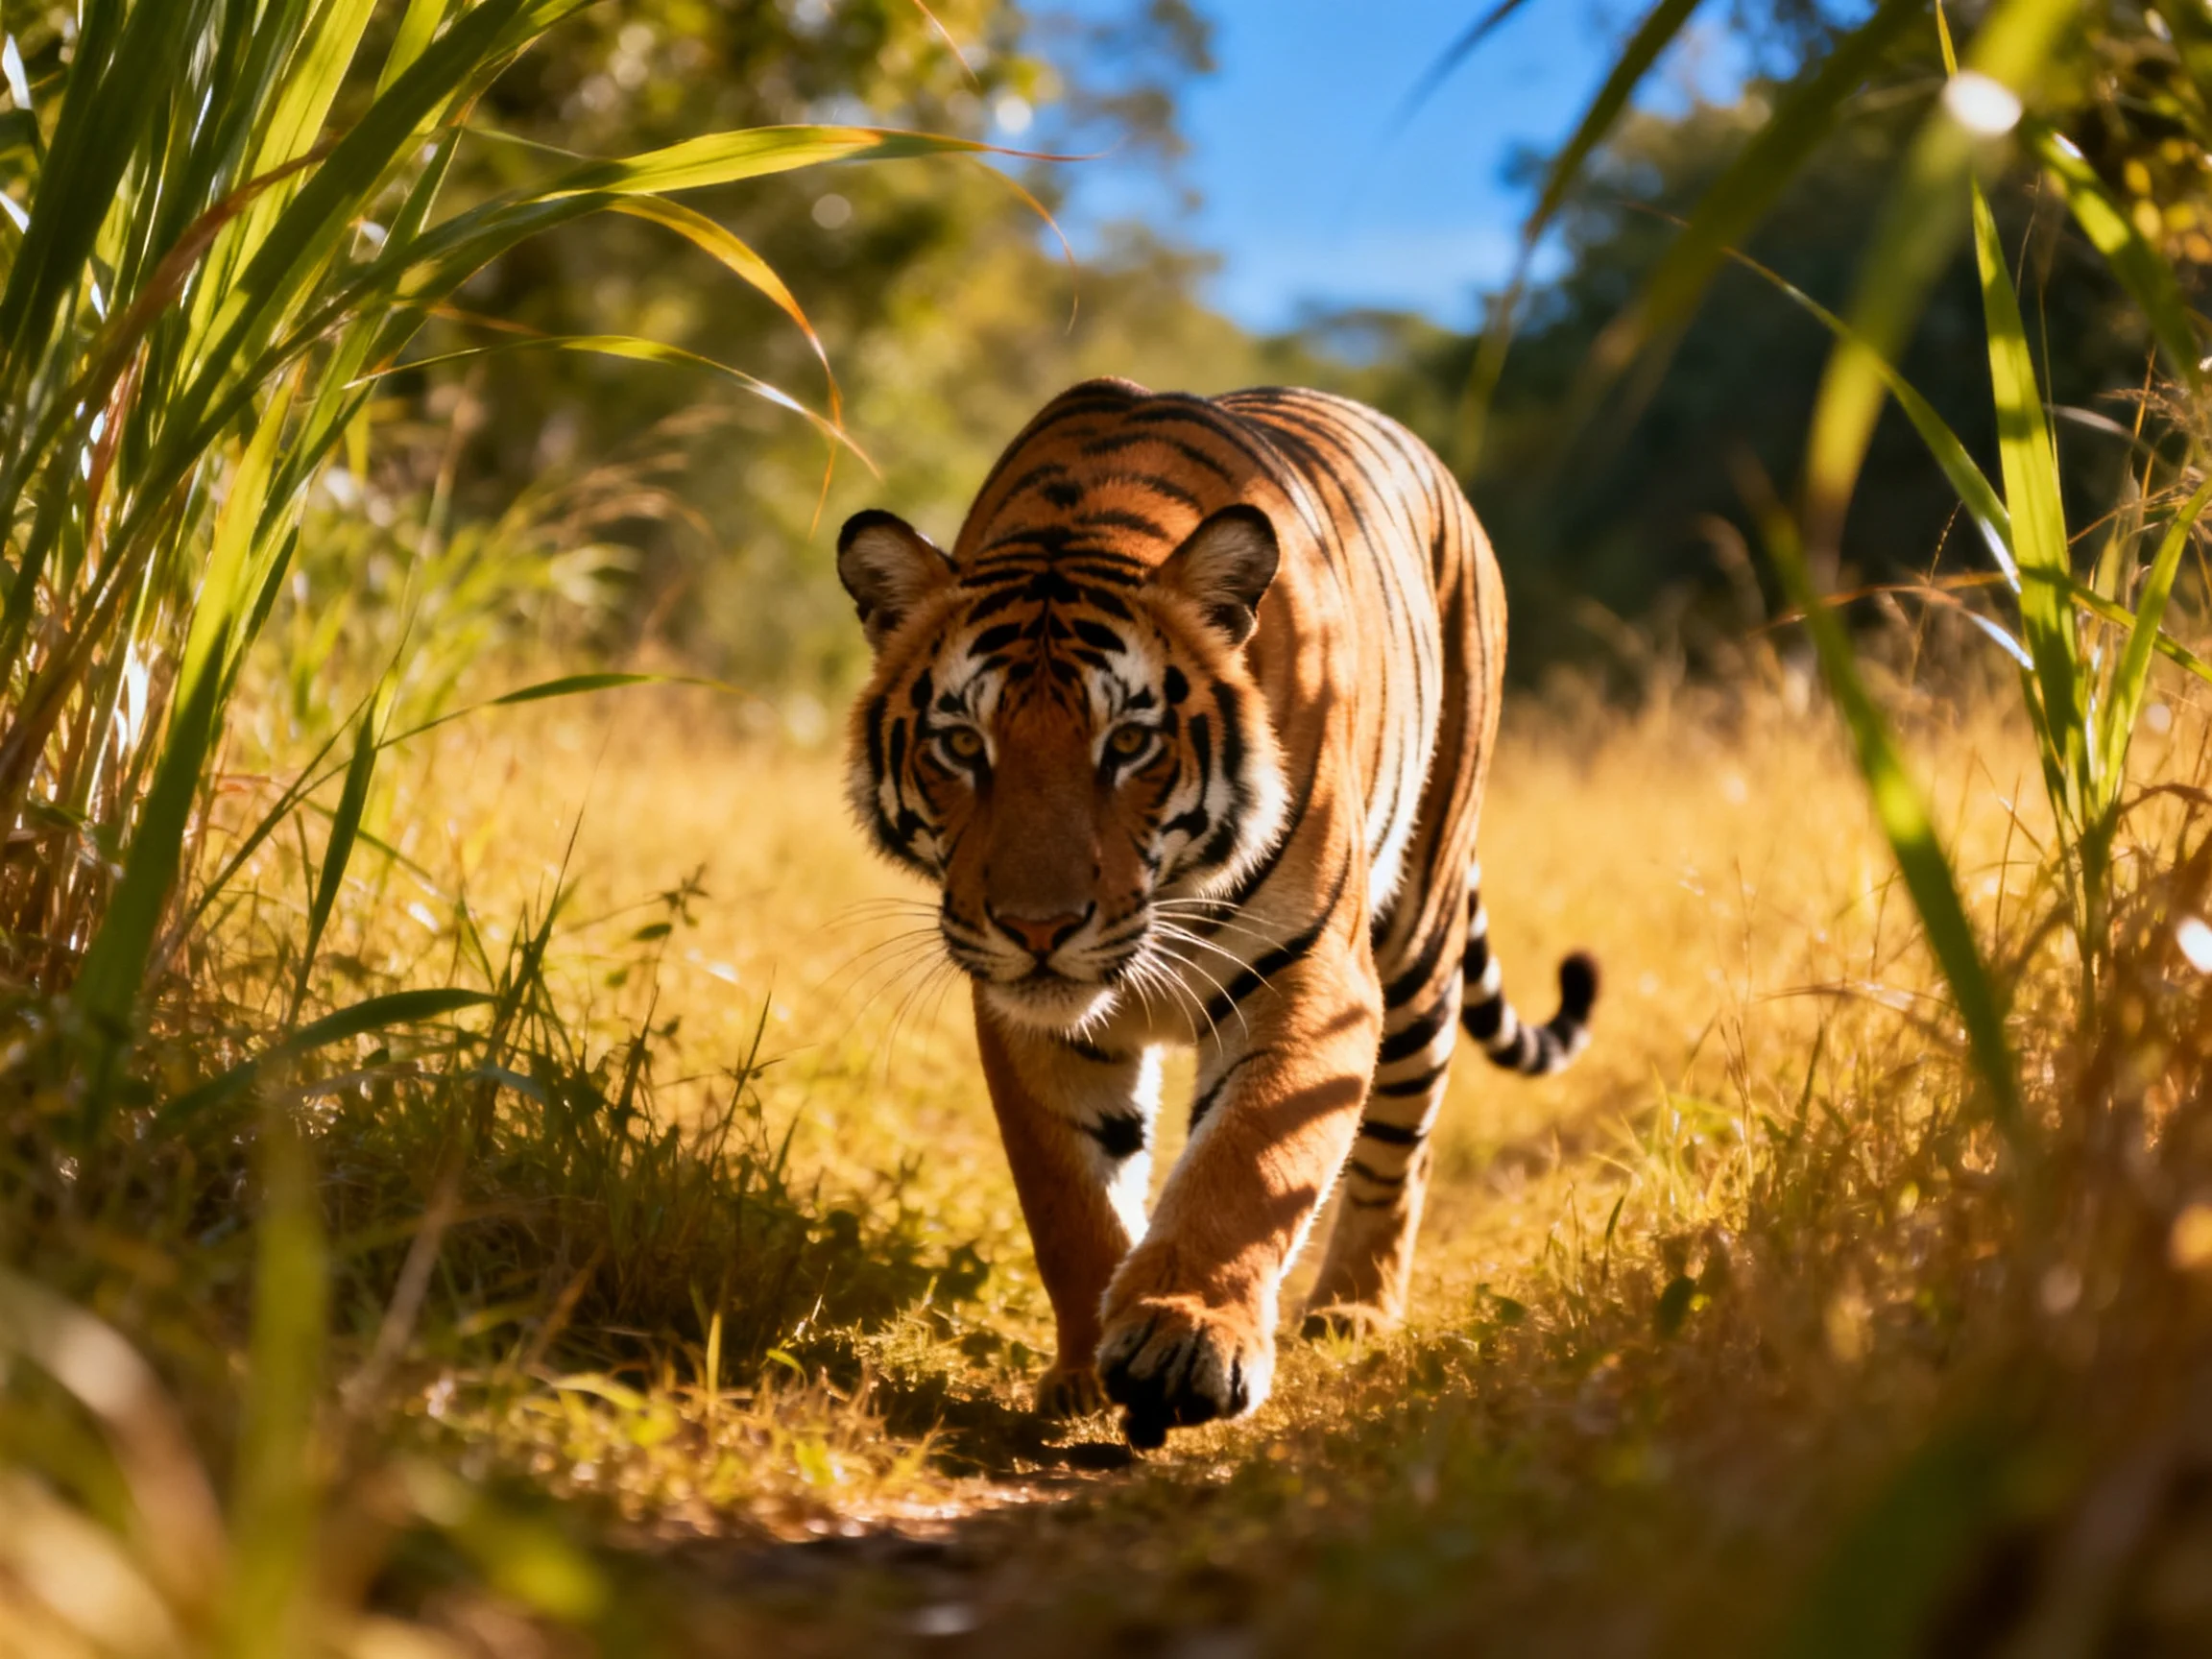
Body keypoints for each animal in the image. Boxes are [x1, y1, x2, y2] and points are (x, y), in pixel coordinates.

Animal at [838, 378, 1596, 1450]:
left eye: (1130, 743)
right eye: (960, 744)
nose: (1039, 928)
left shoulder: (1313, 977)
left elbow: (1250, 1162)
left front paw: (1183, 1337)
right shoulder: (1028, 1019)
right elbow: (1071, 1198)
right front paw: (1083, 1369)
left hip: (1422, 924)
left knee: (1399, 1143)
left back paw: (1355, 1311)